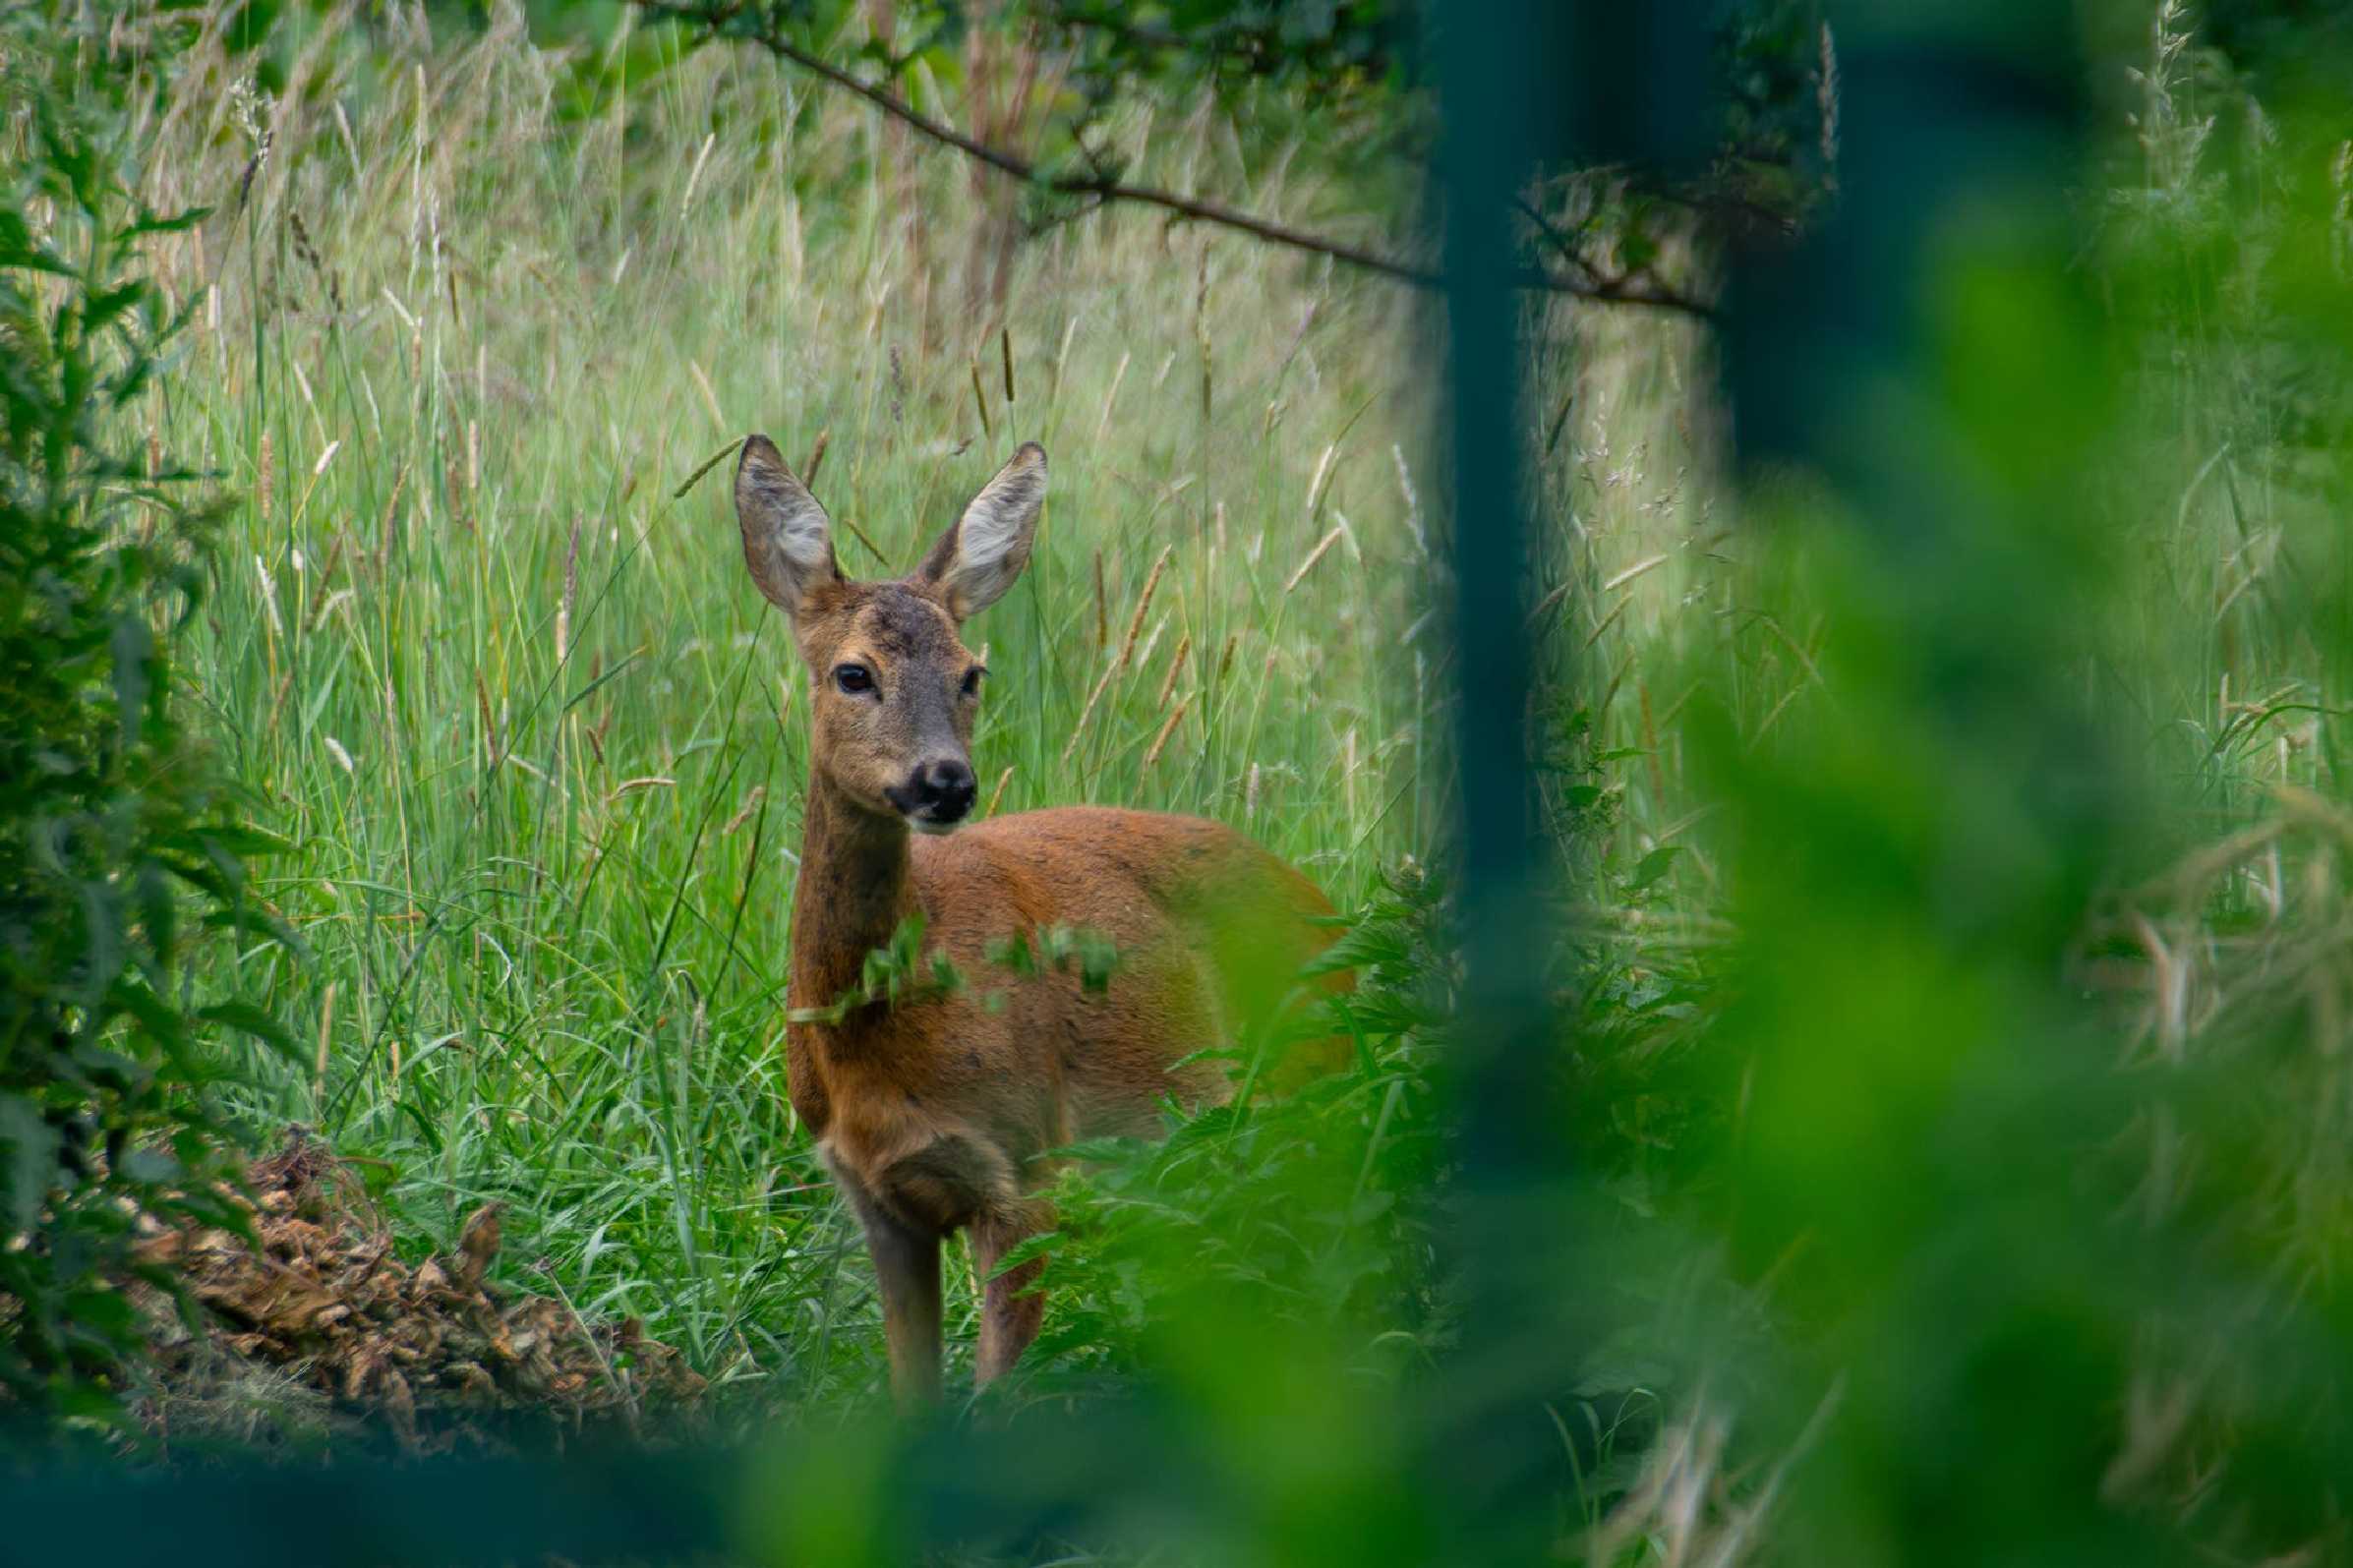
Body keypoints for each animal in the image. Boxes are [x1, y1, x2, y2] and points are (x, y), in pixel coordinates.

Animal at [734, 435, 1345, 1401]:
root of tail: (1332, 914)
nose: (946, 781)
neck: (875, 1047)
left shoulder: (1025, 1171)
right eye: (853, 672)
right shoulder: (877, 1198)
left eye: (970, 673)